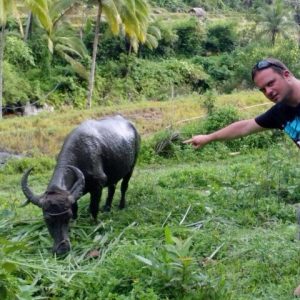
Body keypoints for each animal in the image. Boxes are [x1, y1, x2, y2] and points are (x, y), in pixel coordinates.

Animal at [21, 116, 141, 254]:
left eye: (67, 217)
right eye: (47, 219)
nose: (62, 249)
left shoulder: (97, 187)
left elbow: (93, 207)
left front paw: (94, 223)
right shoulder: (73, 193)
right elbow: (76, 208)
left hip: (131, 167)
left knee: (123, 187)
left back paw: (121, 205)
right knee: (112, 188)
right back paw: (106, 207)